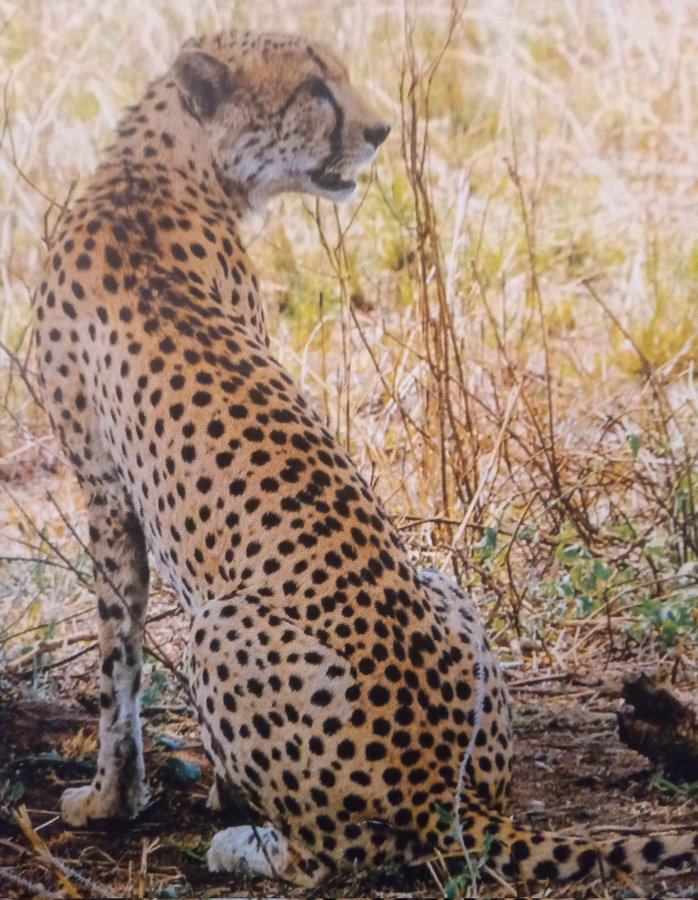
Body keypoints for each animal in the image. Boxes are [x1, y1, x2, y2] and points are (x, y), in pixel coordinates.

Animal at [35, 31, 692, 888]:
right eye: (315, 88)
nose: (380, 131)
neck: (161, 169)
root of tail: (448, 794)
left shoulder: (106, 495)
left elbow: (120, 674)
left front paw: (114, 800)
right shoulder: (110, 489)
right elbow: (123, 671)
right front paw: (191, 790)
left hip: (218, 625)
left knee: (334, 855)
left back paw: (245, 845)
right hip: (443, 586)